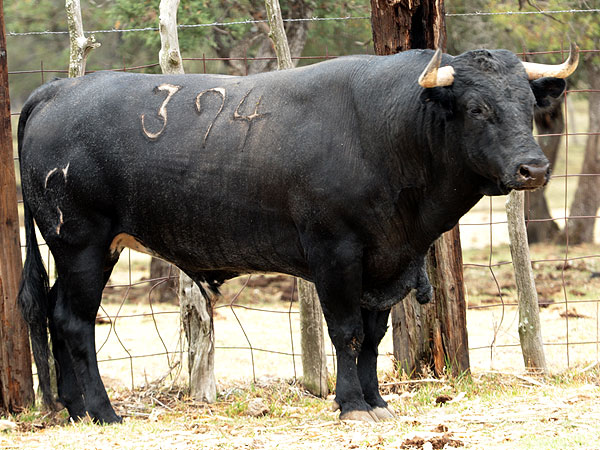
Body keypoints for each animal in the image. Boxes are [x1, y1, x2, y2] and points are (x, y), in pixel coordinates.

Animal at [17, 44, 578, 424]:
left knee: (53, 312)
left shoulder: (386, 262)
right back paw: (103, 411)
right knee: (73, 321)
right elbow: (346, 331)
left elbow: (373, 336)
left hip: (81, 250)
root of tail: (59, 89)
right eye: (478, 108)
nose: (533, 169)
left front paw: (377, 400)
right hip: (82, 244)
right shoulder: (336, 253)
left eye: (528, 105)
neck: (388, 131)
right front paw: (351, 404)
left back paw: (74, 409)